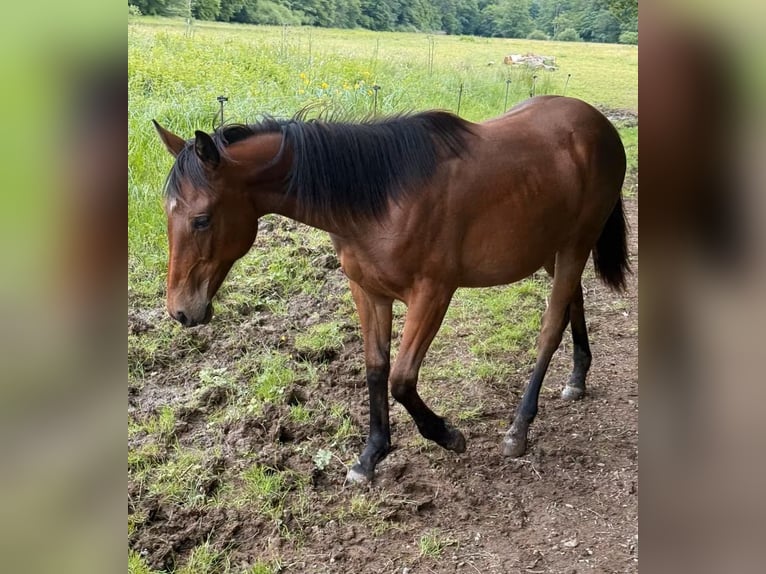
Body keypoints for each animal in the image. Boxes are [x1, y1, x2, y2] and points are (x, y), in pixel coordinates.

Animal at [153, 95, 629, 483]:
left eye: (201, 219)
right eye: (167, 214)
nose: (181, 310)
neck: (382, 196)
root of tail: (597, 122)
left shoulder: (432, 294)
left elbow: (402, 379)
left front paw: (447, 434)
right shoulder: (368, 292)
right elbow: (376, 368)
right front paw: (371, 455)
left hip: (575, 244)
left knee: (550, 327)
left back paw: (519, 428)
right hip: (552, 248)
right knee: (572, 303)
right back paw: (577, 377)